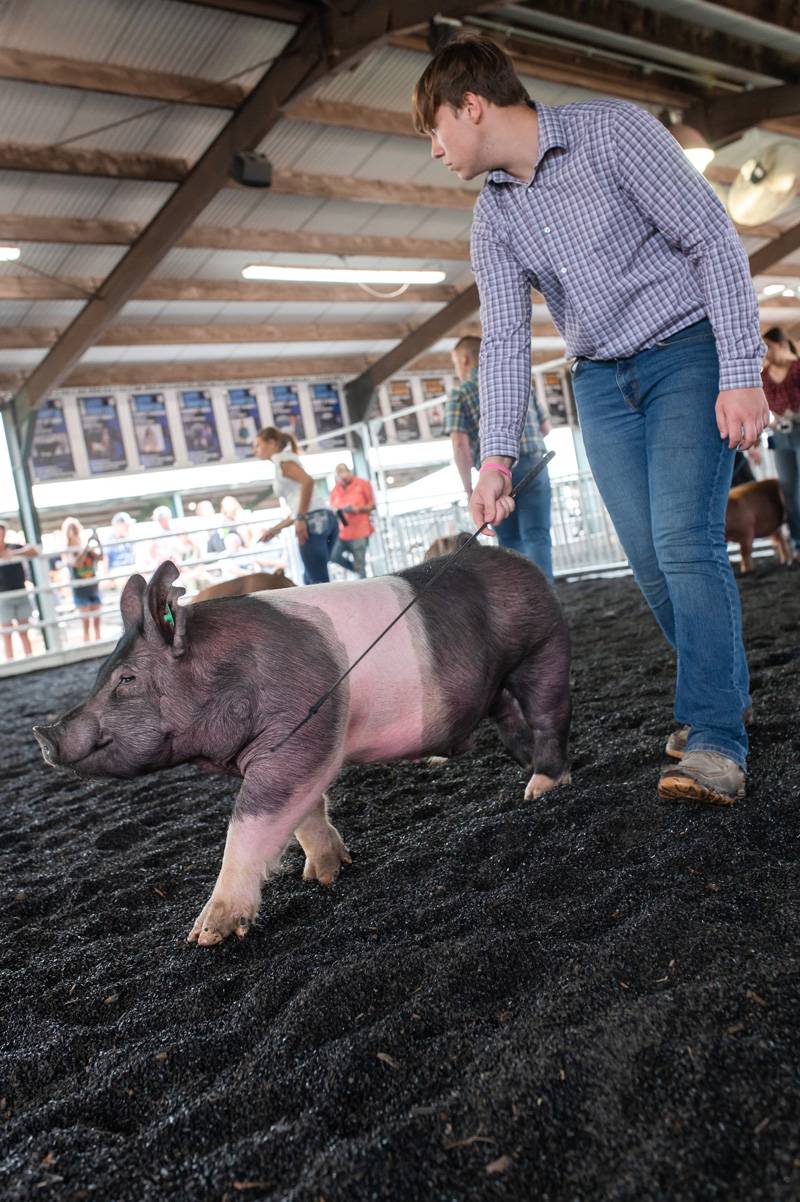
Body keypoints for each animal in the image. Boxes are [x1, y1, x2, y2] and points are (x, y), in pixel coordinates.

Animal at [31, 548, 566, 947]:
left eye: (126, 679)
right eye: (100, 674)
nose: (44, 734)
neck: (230, 674)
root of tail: (519, 561)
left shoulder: (301, 731)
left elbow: (251, 821)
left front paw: (205, 935)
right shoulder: (294, 750)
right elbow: (304, 812)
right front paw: (325, 876)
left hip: (541, 647)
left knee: (548, 713)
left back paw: (542, 788)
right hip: (494, 683)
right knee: (509, 717)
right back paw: (510, 773)